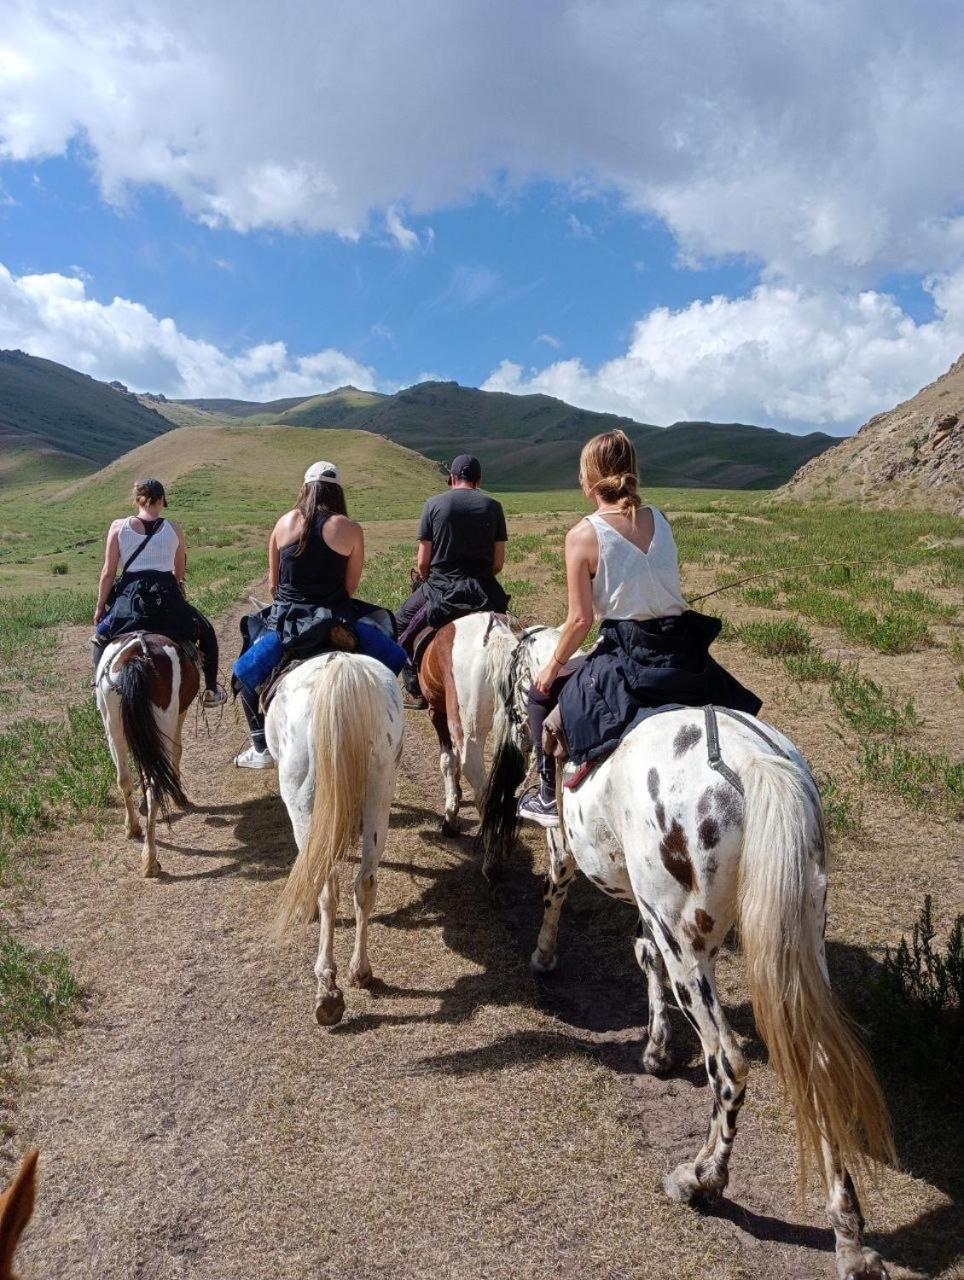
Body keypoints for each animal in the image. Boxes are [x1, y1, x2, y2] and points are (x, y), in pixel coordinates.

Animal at [94, 632, 199, 875]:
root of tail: (137, 657)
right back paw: (151, 860)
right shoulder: (179, 714)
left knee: (124, 779)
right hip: (164, 722)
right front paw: (179, 797)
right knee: (155, 786)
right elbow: (177, 751)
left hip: (113, 728)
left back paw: (133, 829)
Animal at [267, 655, 401, 1024]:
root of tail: (341, 667)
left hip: (302, 802)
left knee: (328, 886)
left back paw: (327, 991)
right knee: (365, 882)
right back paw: (360, 971)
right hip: (379, 792)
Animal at [478, 622, 896, 1280]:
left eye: (516, 684)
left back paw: (702, 1178)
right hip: (798, 935)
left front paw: (544, 958)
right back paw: (850, 1239)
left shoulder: (572, 852)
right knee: (819, 1062)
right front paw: (656, 1050)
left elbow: (557, 892)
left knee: (728, 1063)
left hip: (693, 951)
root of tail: (752, 766)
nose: (516, 730)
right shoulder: (654, 910)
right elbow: (642, 954)